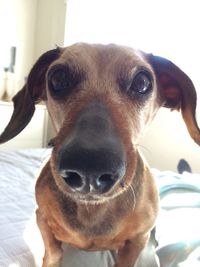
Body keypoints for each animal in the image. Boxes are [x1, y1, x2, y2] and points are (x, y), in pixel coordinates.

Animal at [0, 43, 200, 266]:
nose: (89, 168)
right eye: (58, 78)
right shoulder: (41, 217)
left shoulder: (139, 238)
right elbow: (53, 251)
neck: (93, 211)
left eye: (142, 82)